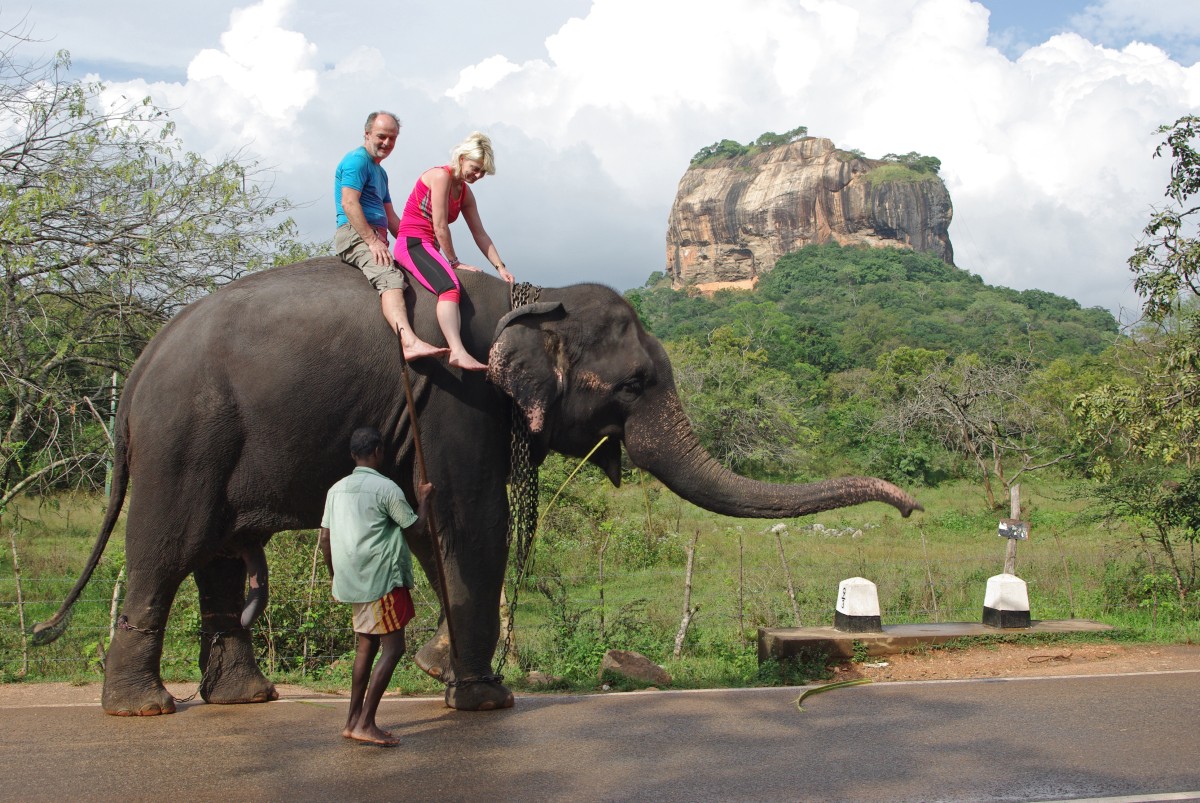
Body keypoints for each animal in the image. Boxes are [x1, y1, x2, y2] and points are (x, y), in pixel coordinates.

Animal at [35, 255, 916, 715]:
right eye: (635, 384)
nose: (909, 505)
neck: (534, 296)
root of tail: (141, 361)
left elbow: (436, 525)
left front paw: (441, 670)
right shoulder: (453, 394)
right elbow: (470, 519)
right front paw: (487, 699)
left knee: (218, 556)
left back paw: (247, 698)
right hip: (186, 438)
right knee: (168, 548)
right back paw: (144, 707)